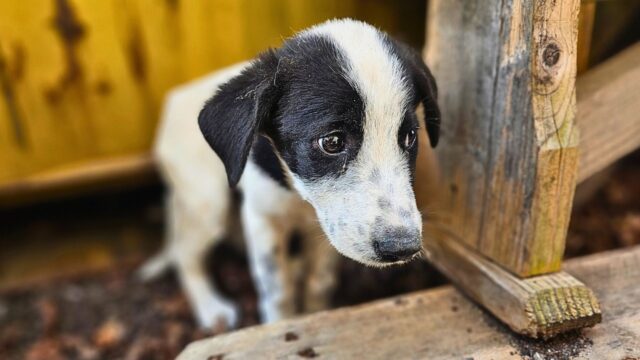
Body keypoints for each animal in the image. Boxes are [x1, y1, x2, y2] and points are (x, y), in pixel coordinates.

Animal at [140, 19, 440, 330]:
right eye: (332, 142)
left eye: (409, 137)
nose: (403, 247)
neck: (300, 197)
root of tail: (175, 99)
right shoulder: (262, 217)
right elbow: (278, 292)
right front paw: (280, 326)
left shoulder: (328, 227)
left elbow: (318, 281)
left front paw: (315, 314)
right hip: (207, 202)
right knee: (184, 252)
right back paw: (211, 307)